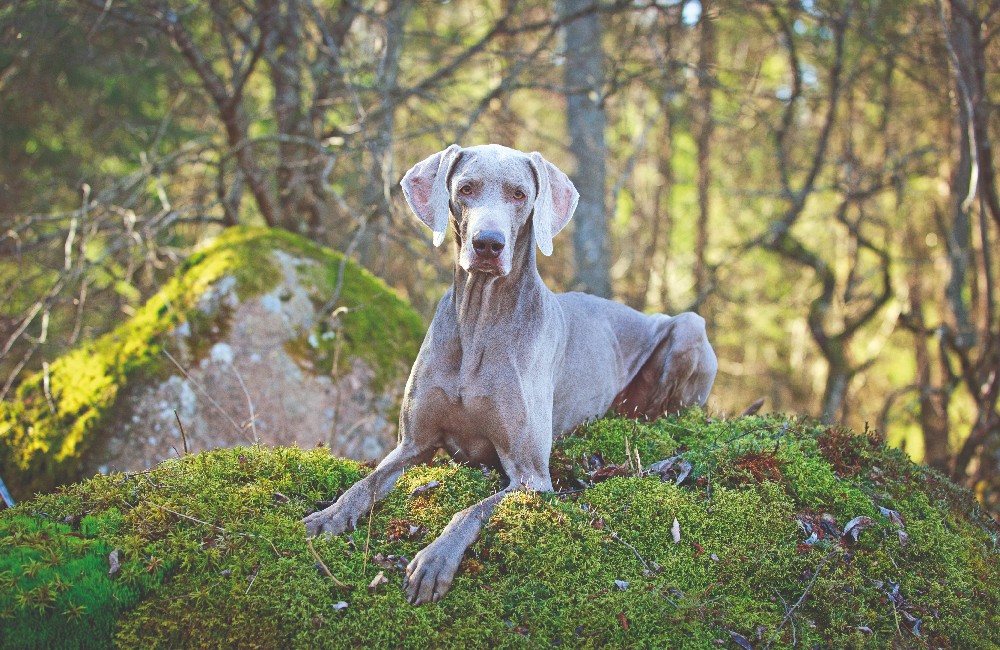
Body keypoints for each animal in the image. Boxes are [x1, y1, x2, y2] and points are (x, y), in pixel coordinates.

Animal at [304, 142, 720, 604]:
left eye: (520, 194)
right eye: (466, 188)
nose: (488, 243)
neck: (480, 320)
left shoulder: (530, 476)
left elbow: (470, 511)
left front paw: (434, 559)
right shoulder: (412, 445)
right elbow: (366, 483)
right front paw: (328, 515)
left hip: (688, 327)